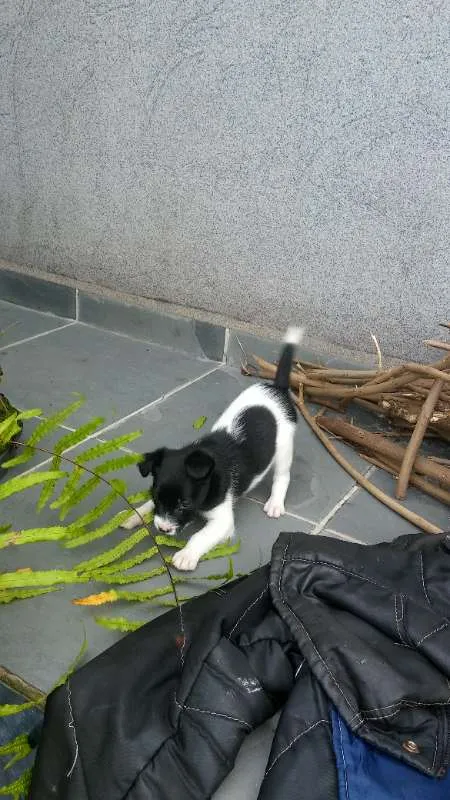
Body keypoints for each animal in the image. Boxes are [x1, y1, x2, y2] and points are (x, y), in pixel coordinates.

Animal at [121, 327, 303, 571]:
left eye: (185, 504)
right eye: (156, 496)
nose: (163, 529)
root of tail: (278, 390)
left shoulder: (222, 521)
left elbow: (200, 536)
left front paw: (186, 555)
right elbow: (147, 505)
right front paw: (135, 515)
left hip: (284, 446)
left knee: (282, 476)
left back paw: (275, 503)